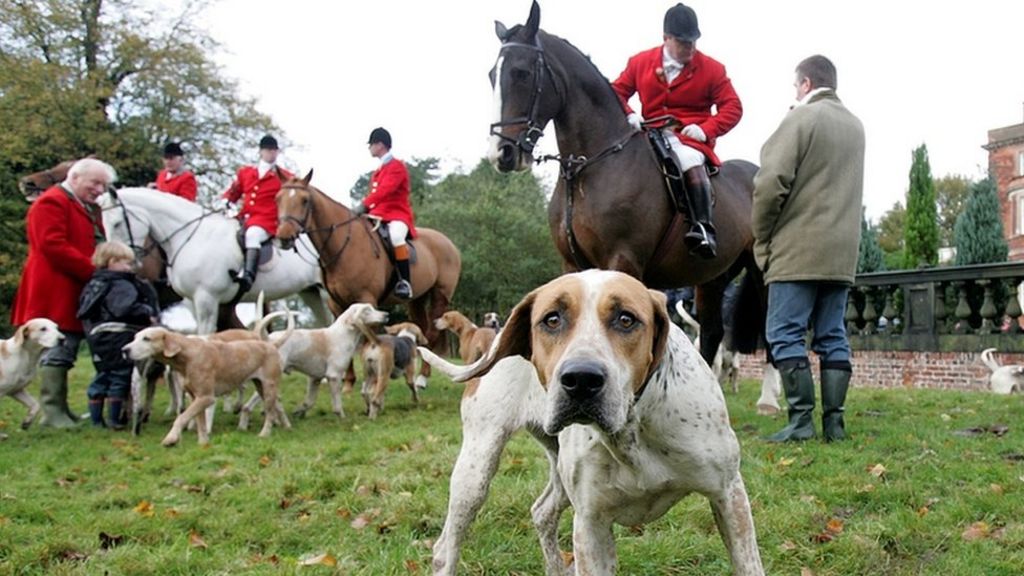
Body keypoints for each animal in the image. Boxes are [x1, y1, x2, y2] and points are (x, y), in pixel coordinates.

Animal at [98, 188, 329, 332]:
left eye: (117, 223)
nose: (128, 262)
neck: (192, 236)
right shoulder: (191, 300)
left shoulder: (206, 299)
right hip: (311, 293)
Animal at [122, 309, 296, 448]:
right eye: (135, 337)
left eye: (147, 338)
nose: (124, 349)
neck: (188, 355)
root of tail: (271, 345)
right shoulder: (196, 398)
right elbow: (201, 423)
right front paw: (203, 443)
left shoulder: (206, 398)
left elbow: (181, 417)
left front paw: (171, 439)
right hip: (262, 388)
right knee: (277, 407)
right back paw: (287, 426)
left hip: (268, 388)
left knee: (270, 413)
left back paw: (264, 434)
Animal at [274, 170, 462, 385]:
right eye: (278, 199)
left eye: (305, 200)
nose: (284, 237)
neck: (344, 244)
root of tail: (448, 242)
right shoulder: (336, 304)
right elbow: (343, 334)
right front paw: (347, 379)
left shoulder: (366, 299)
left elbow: (366, 339)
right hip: (416, 299)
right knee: (421, 329)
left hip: (440, 295)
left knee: (432, 331)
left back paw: (422, 378)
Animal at [419, 270, 765, 573]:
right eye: (552, 319)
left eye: (626, 319)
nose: (581, 379)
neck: (631, 430)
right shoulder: (590, 524)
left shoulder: (729, 496)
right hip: (475, 472)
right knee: (445, 547)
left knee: (542, 512)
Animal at [489, 1, 770, 362]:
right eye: (491, 75)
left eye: (522, 73)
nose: (502, 154)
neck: (587, 169)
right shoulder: (571, 265)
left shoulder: (623, 260)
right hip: (713, 277)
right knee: (711, 333)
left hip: (762, 271)